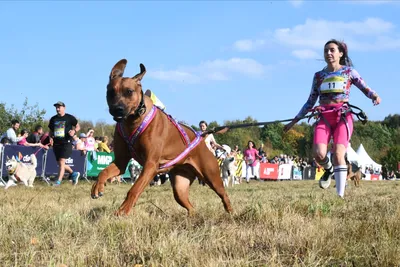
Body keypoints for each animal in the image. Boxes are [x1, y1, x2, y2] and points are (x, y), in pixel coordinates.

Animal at [91, 59, 233, 217]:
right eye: (110, 92)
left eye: (129, 91)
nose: (117, 109)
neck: (134, 121)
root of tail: (200, 138)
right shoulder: (121, 162)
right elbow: (104, 171)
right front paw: (97, 186)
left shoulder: (150, 165)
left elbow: (134, 190)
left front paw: (123, 210)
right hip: (179, 187)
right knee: (190, 205)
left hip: (212, 176)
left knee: (224, 194)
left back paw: (231, 212)